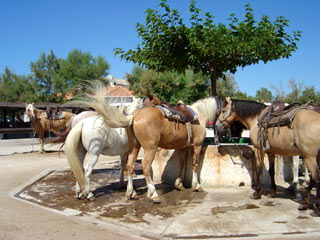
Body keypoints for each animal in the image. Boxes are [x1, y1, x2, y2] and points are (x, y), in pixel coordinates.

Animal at [80, 82, 220, 202]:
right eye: (223, 108)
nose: (220, 126)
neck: (199, 115)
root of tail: (134, 116)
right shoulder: (197, 145)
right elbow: (195, 164)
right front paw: (197, 186)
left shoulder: (183, 147)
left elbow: (182, 164)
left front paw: (179, 184)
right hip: (148, 149)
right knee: (145, 166)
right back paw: (153, 194)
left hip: (134, 147)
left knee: (130, 166)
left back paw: (131, 193)